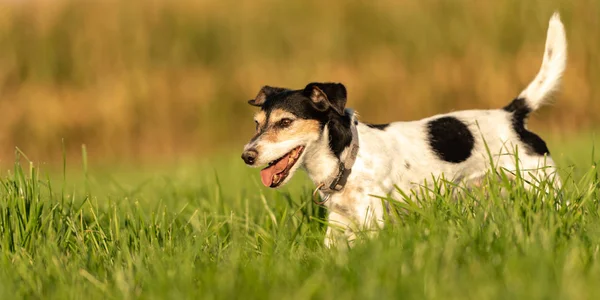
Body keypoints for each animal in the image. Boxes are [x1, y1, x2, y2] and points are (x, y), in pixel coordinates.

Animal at [240, 12, 568, 247]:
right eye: (256, 124)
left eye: (285, 122)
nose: (247, 156)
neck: (348, 159)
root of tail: (512, 114)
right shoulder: (338, 223)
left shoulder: (372, 218)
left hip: (543, 185)